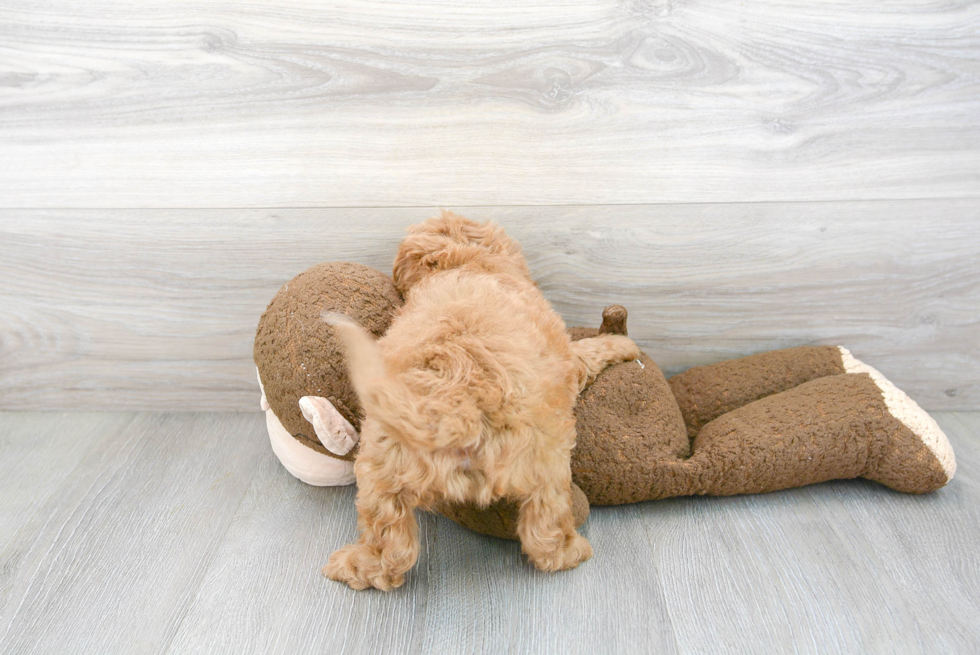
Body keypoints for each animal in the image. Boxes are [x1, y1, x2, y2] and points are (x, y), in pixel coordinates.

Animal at [326, 213, 640, 592]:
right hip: (546, 460)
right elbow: (593, 350)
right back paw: (571, 551)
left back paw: (353, 566)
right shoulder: (567, 358)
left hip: (381, 466)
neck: (466, 261)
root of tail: (456, 408)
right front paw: (623, 345)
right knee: (544, 529)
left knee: (388, 548)